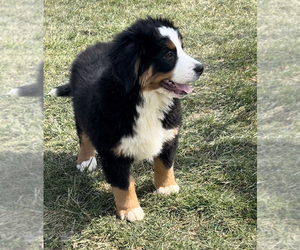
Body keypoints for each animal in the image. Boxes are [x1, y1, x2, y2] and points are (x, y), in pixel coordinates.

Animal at [49, 16, 204, 222]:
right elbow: (123, 184)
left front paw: (166, 186)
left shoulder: (169, 133)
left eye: (182, 47)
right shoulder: (112, 150)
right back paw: (85, 160)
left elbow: (165, 164)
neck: (145, 99)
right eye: (169, 55)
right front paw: (130, 210)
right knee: (84, 136)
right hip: (82, 112)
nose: (201, 68)